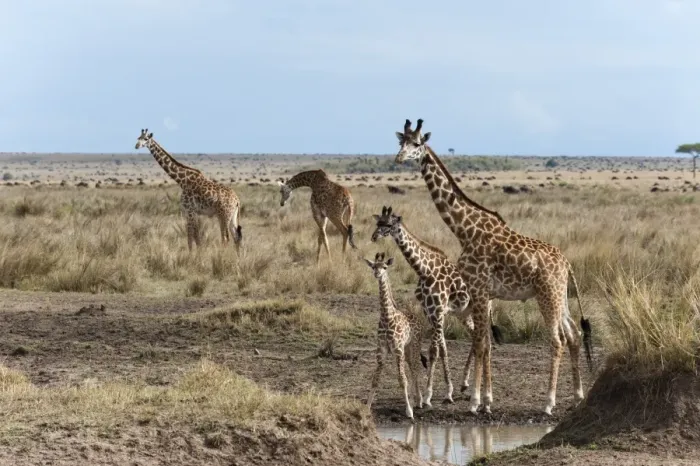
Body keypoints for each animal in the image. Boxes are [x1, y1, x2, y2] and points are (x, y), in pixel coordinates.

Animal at [364, 252, 427, 420]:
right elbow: (375, 380)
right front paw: (366, 408)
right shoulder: (382, 350)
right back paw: (415, 399)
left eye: (385, 267)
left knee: (415, 368)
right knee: (411, 367)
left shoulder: (397, 349)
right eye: (373, 266)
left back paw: (419, 401)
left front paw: (409, 411)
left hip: (415, 344)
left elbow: (402, 379)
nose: (377, 274)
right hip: (407, 348)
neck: (387, 317)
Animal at [371, 205, 503, 406]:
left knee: (484, 340)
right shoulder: (430, 312)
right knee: (476, 337)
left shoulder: (439, 311)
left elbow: (434, 351)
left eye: (390, 224)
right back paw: (464, 384)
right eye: (378, 222)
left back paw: (483, 393)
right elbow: (442, 349)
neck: (425, 270)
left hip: (482, 308)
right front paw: (448, 391)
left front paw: (427, 397)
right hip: (463, 313)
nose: (374, 236)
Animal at [393, 118, 592, 416]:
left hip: (547, 296)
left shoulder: (477, 289)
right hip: (560, 297)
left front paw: (475, 402)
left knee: (557, 340)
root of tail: (567, 263)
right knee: (574, 334)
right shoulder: (484, 294)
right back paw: (578, 396)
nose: (398, 158)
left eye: (417, 143)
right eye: (400, 141)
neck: (464, 230)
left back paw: (548, 403)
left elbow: (479, 343)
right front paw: (487, 400)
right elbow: (484, 343)